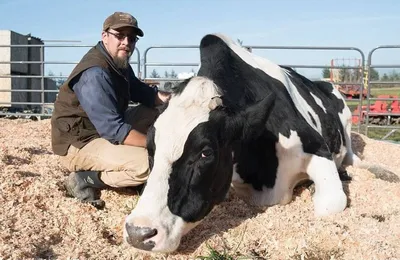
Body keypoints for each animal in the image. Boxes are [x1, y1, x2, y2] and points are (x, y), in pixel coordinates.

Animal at [122, 32, 360, 252]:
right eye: (150, 148)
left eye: (206, 152)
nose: (138, 233)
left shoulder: (317, 146)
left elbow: (330, 204)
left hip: (347, 119)